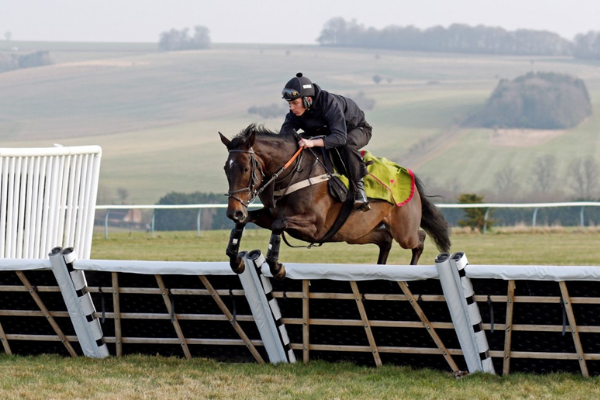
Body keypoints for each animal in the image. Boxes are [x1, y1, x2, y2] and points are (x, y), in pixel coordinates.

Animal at [220, 124, 450, 278]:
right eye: (225, 169)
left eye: (246, 169)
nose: (233, 211)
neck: (294, 172)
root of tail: (408, 175)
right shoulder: (272, 214)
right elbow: (248, 221)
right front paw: (235, 259)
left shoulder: (315, 226)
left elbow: (278, 224)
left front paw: (276, 267)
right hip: (356, 233)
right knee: (385, 239)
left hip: (404, 231)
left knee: (418, 239)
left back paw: (412, 270)